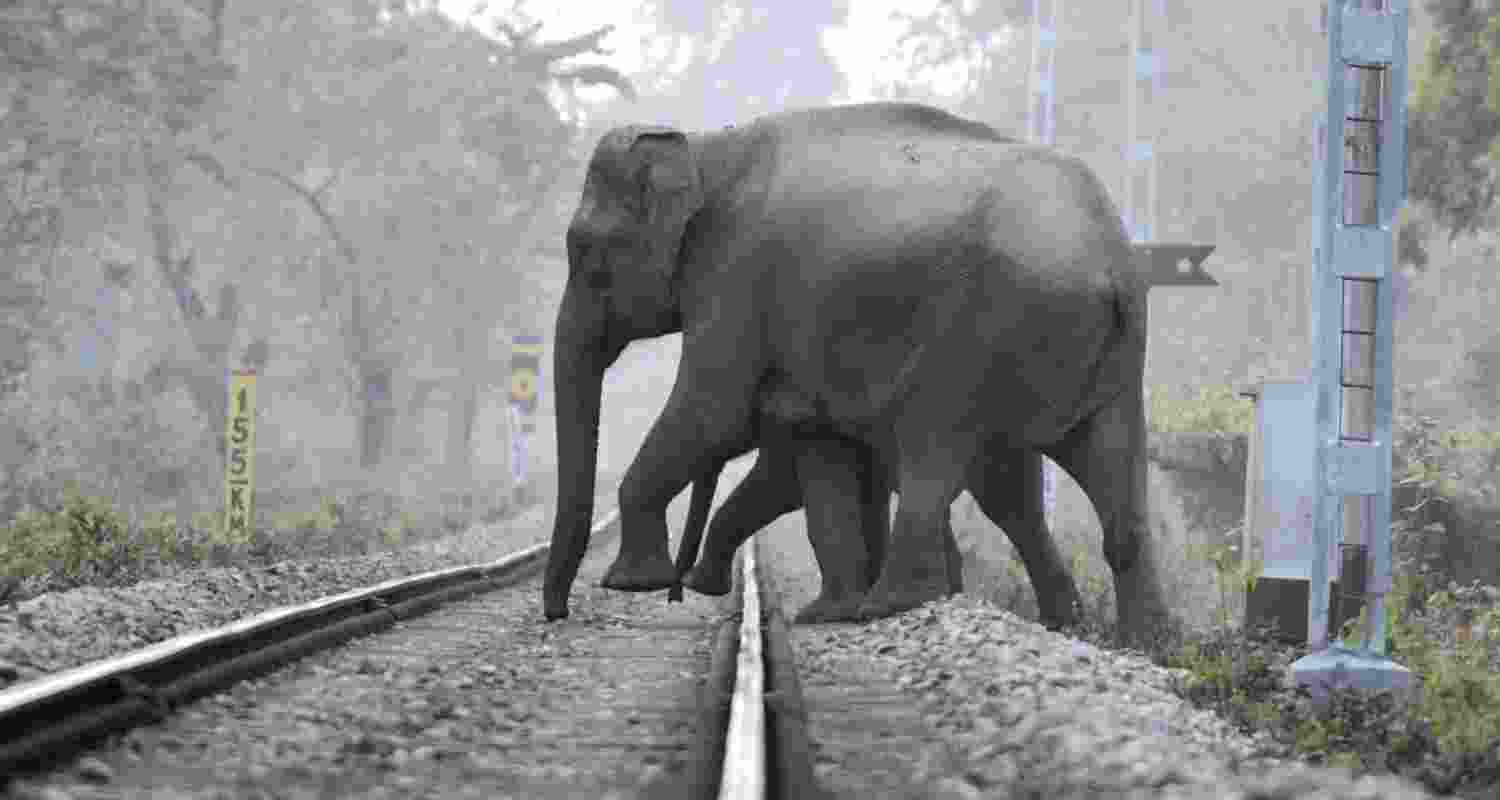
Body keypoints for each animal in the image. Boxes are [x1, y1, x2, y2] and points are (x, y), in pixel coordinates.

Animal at [542, 101, 1172, 646]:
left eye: (586, 249)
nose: (556, 613)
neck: (704, 146)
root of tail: (1105, 258)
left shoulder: (734, 275)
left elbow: (717, 412)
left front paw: (632, 583)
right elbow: (816, 448)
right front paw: (826, 613)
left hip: (982, 333)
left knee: (936, 447)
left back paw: (894, 604)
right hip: (1109, 357)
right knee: (1082, 480)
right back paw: (1128, 642)